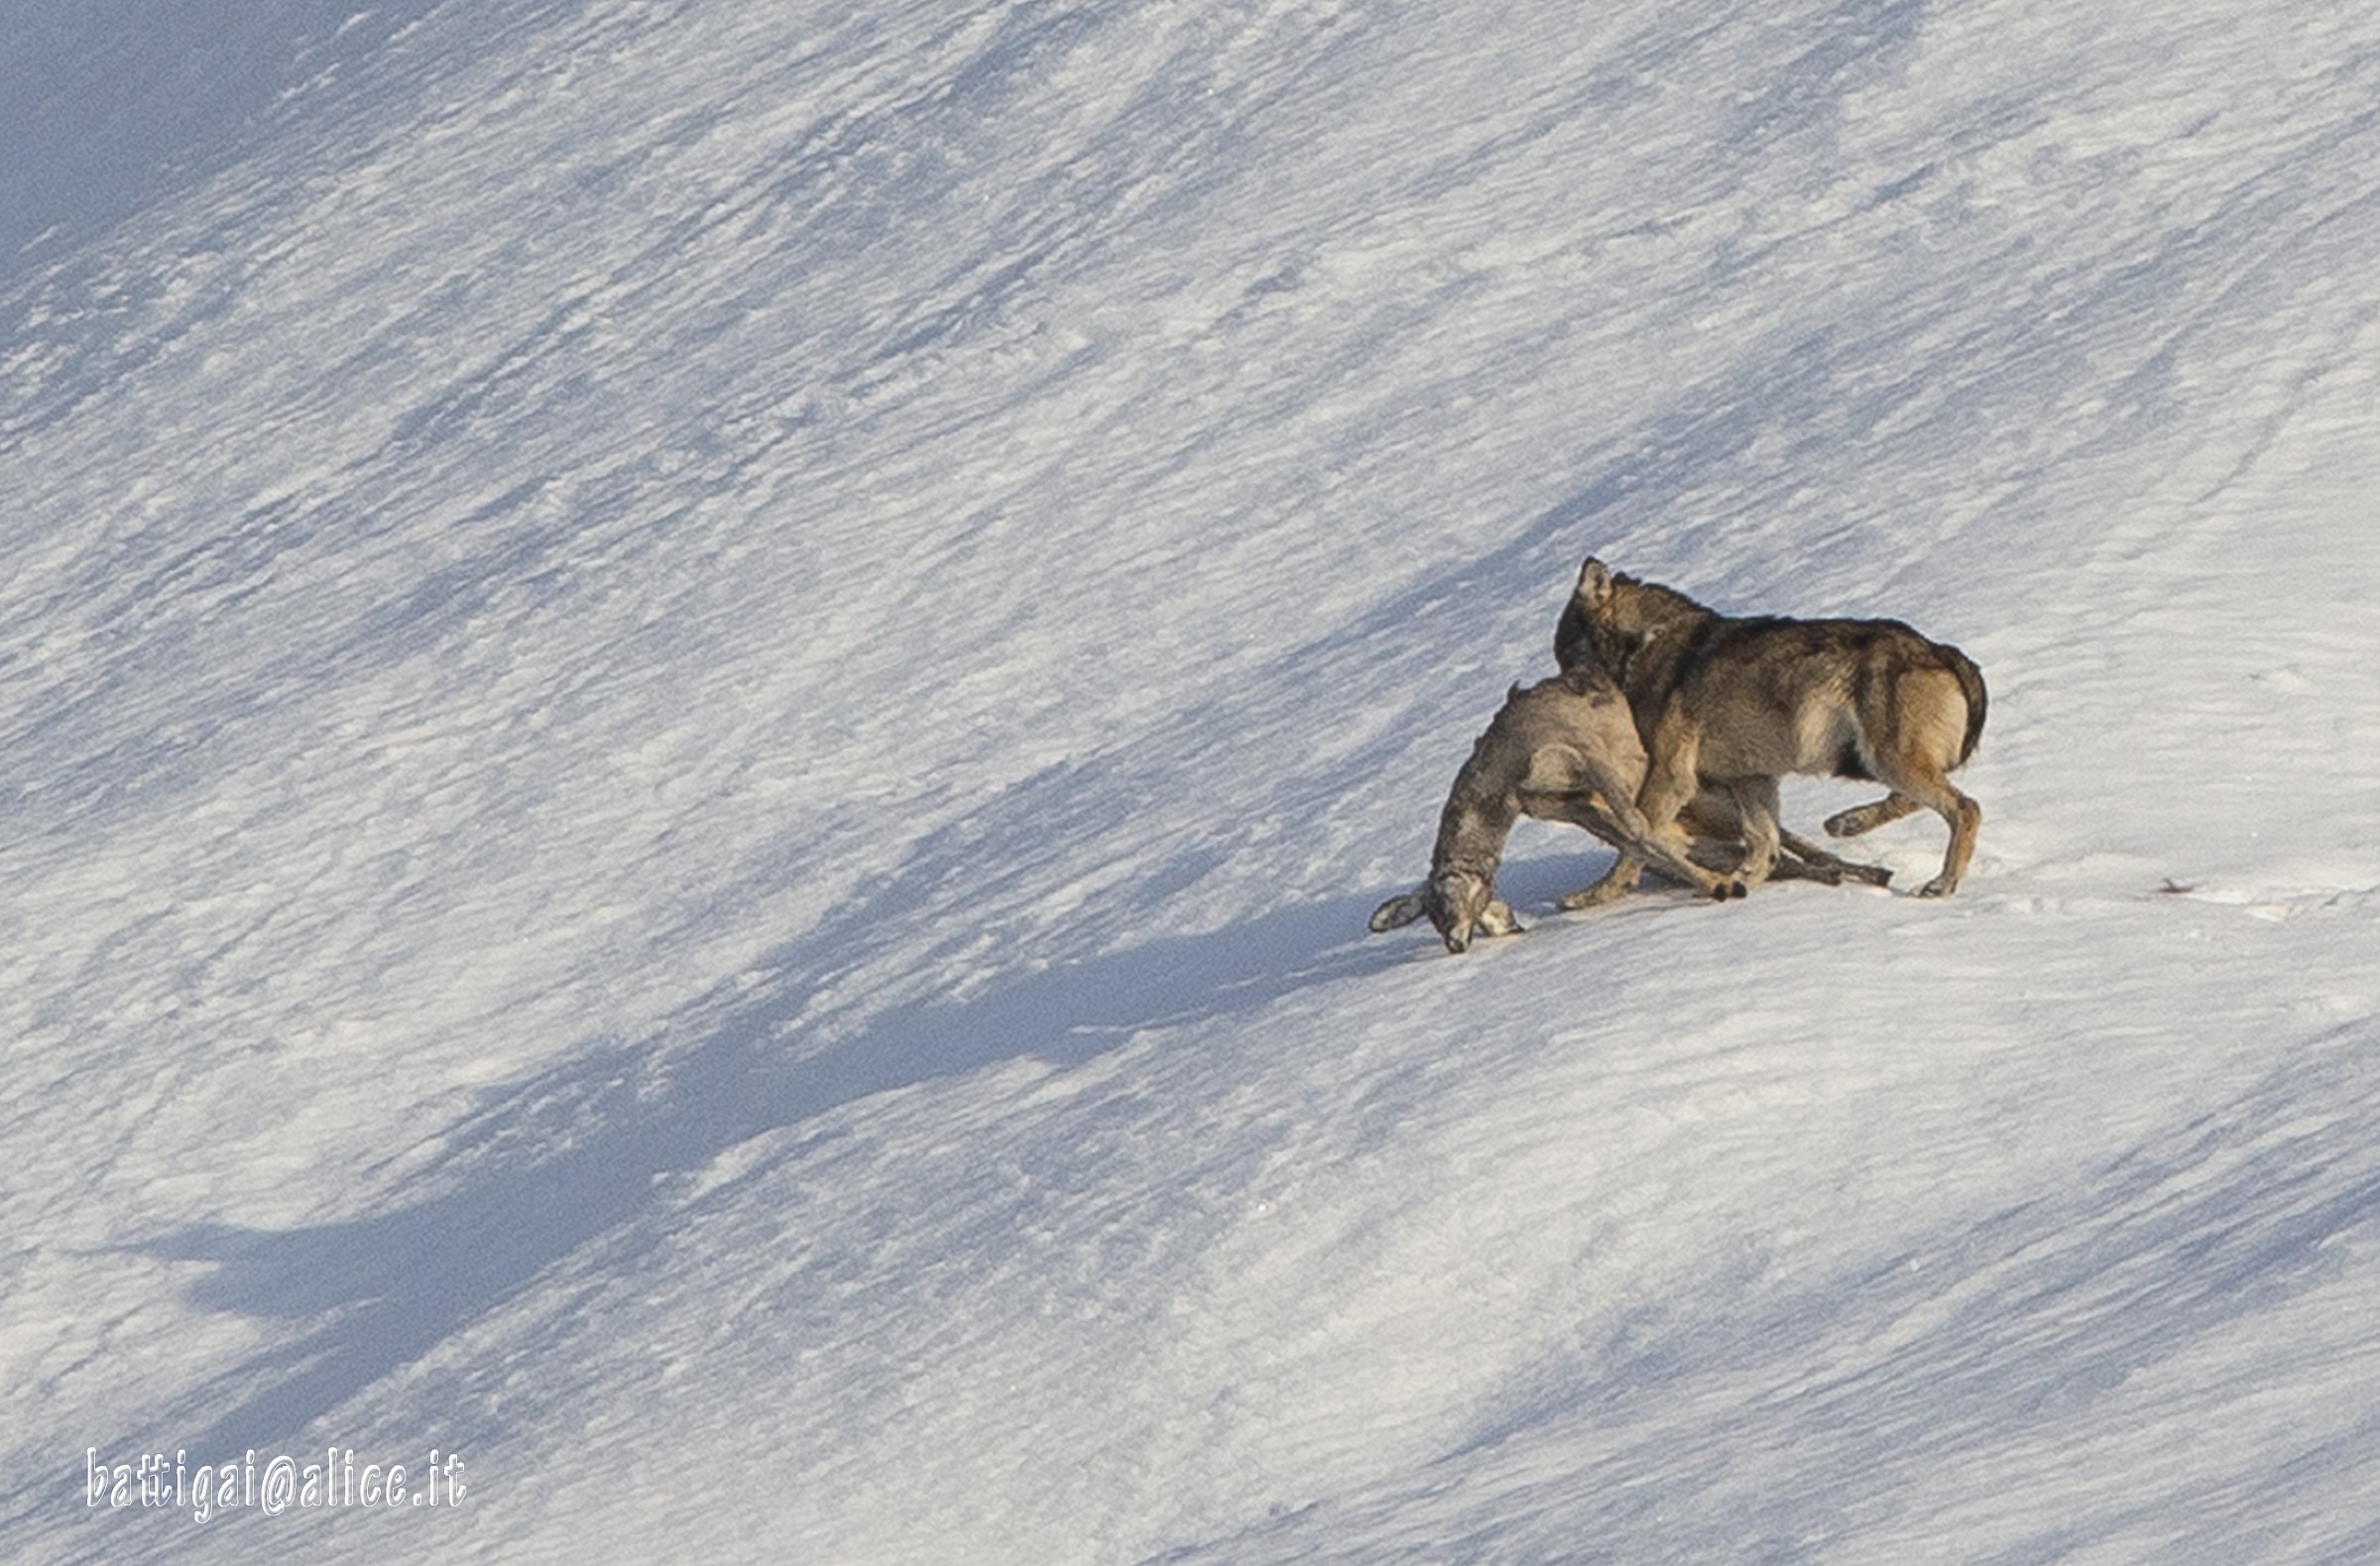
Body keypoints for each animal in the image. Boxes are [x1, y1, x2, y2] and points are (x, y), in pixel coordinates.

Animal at [1369, 666, 1891, 952]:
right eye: (1432, 918)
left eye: (1447, 901)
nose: (1456, 943)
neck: (1503, 782)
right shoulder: (1571, 805)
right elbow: (1637, 843)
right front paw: (1720, 885)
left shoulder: (1590, 761)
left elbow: (1640, 830)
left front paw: (1722, 888)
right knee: (1765, 847)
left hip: (1707, 797)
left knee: (1778, 837)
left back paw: (1861, 867)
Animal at [1556, 557, 1988, 897]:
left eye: (1562, 654)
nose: (1555, 690)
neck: (1644, 646)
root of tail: (1943, 651)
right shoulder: (1752, 781)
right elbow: (1766, 849)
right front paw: (1736, 884)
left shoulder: (1671, 778)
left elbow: (1633, 847)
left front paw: (1593, 896)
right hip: (1876, 763)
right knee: (1923, 799)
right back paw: (1846, 823)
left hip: (1886, 761)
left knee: (1966, 807)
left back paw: (1940, 884)